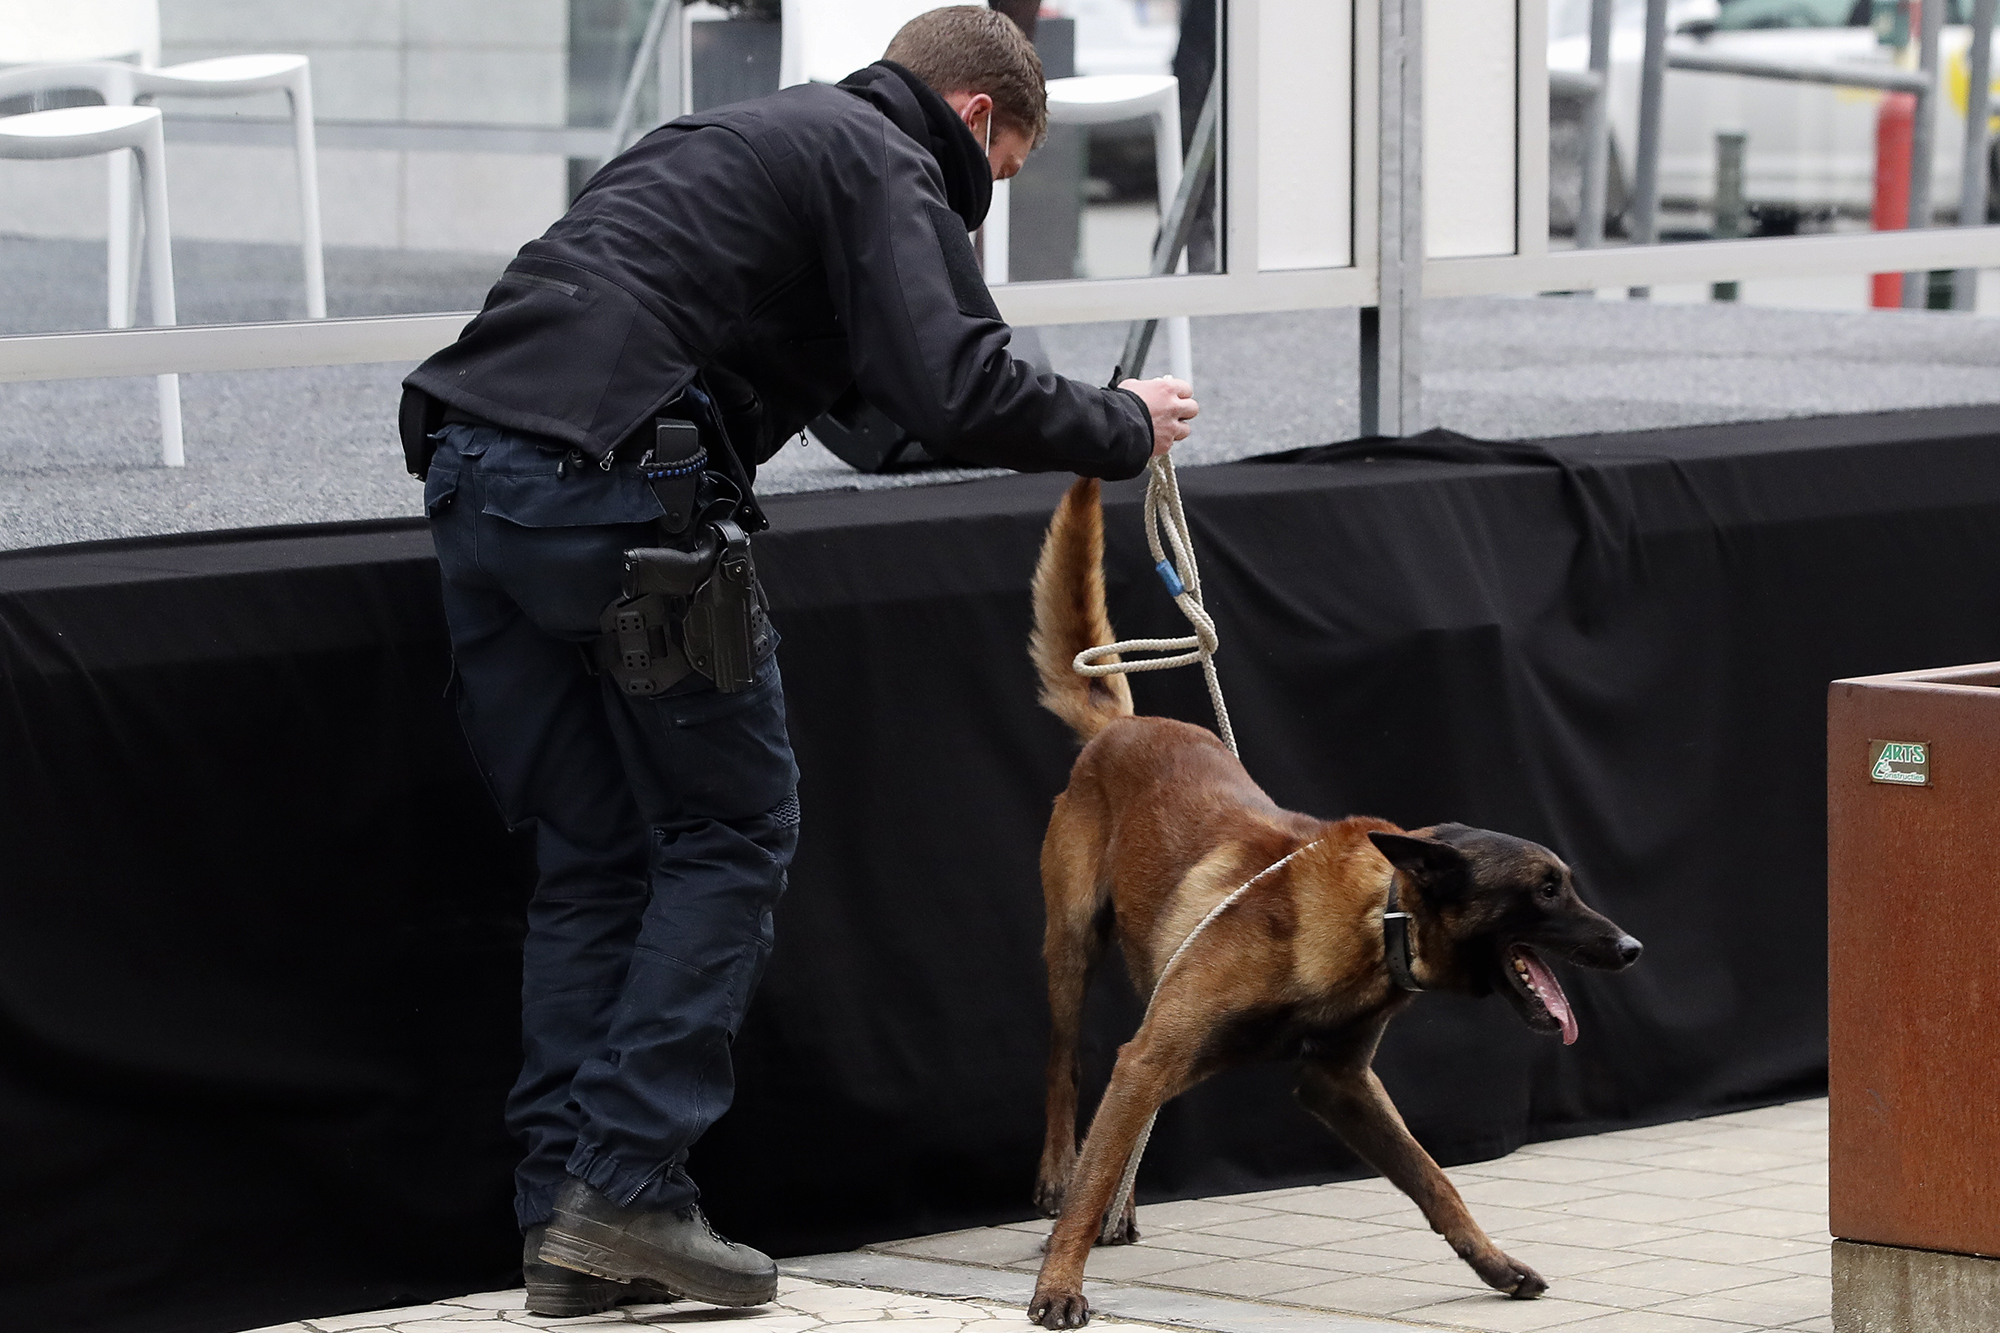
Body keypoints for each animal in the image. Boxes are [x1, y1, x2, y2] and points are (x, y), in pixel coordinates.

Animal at [1024, 474, 1648, 1320]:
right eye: (1545, 889)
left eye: (1569, 883)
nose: (1630, 947)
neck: (1377, 913)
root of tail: (1120, 725)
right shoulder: (1152, 1053)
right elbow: (1094, 1164)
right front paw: (1060, 1283)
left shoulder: (1339, 1083)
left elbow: (1433, 1179)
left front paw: (1493, 1263)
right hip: (1072, 946)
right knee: (1066, 1073)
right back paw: (1060, 1177)